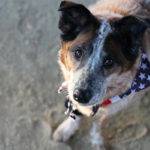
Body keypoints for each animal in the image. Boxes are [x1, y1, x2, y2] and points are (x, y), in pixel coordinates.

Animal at [52, 0, 150, 149]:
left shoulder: (120, 104)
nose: (80, 96)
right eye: (78, 52)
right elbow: (74, 111)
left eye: (109, 61)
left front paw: (98, 139)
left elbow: (101, 122)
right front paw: (66, 129)